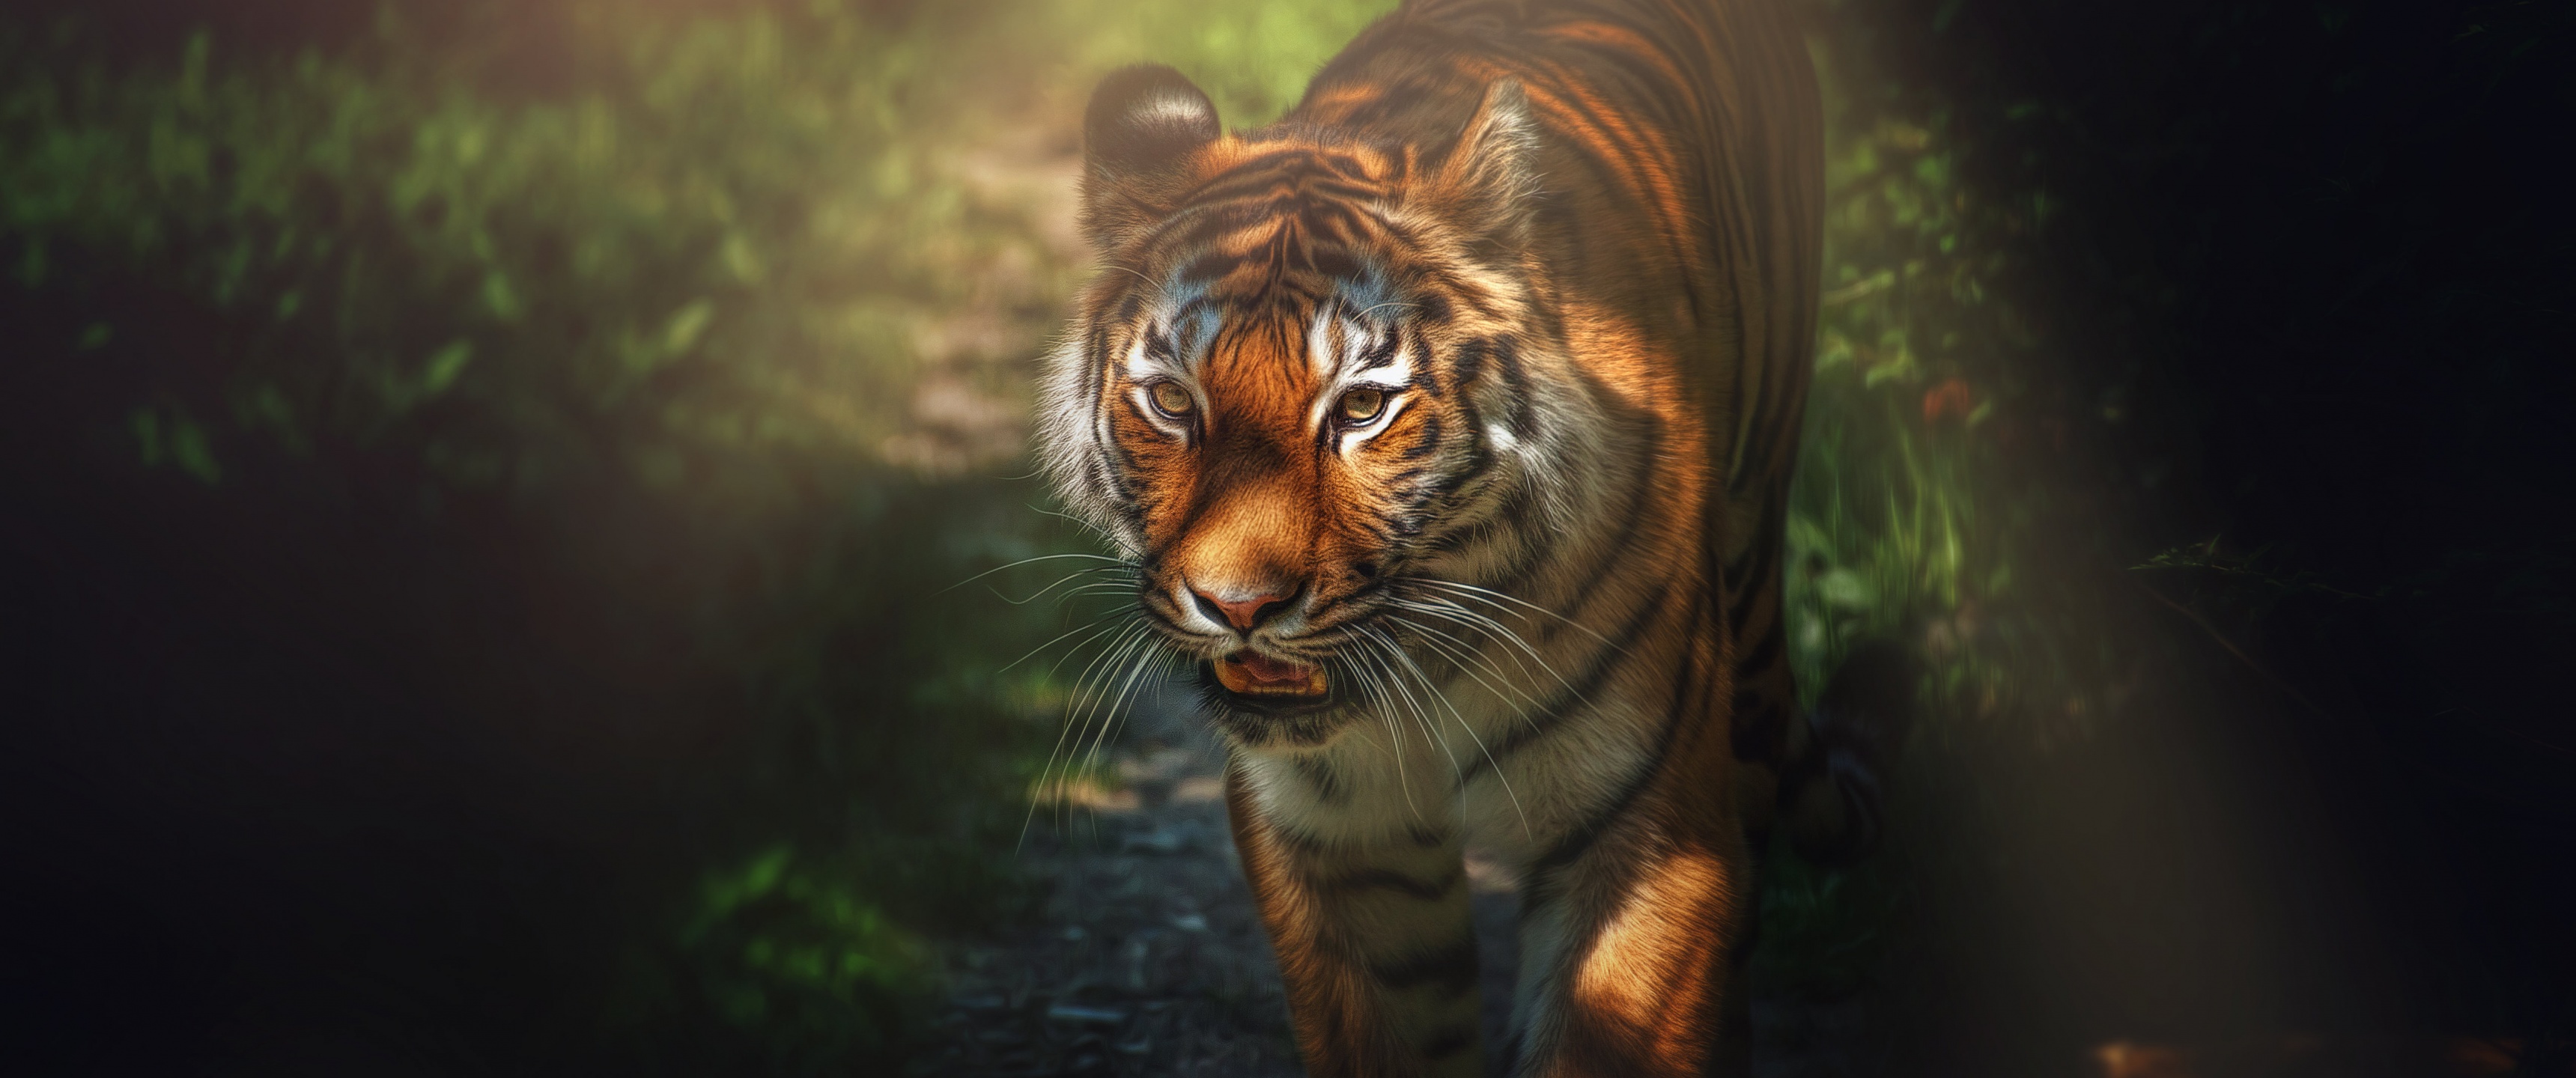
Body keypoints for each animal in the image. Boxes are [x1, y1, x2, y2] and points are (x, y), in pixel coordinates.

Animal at [1037, 1, 1898, 1073]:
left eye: (1360, 408)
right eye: (1170, 402)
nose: (1239, 609)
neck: (1426, 661)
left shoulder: (1651, 829)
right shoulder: (1334, 843)